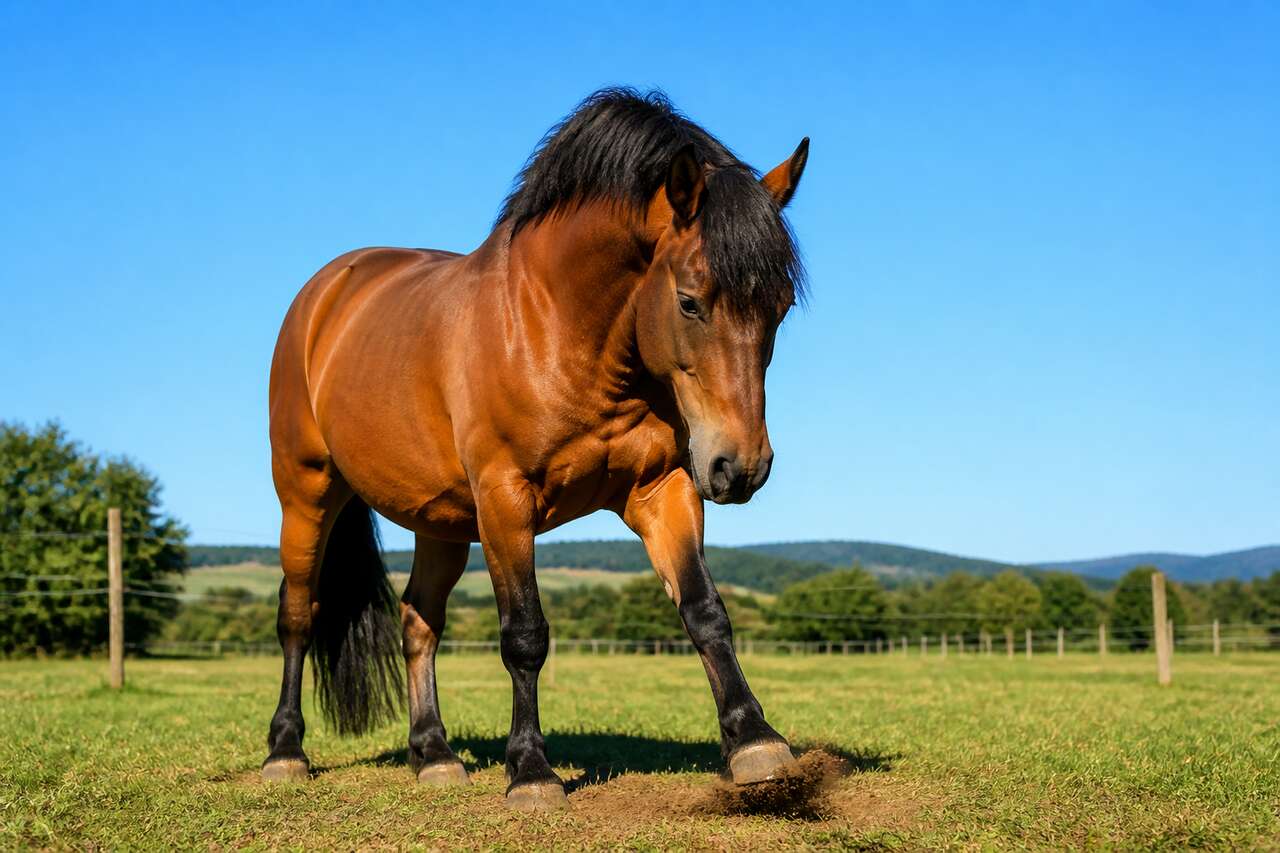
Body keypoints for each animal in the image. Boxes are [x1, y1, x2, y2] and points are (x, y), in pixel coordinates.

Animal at [263, 88, 810, 810]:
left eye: (780, 306)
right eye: (690, 302)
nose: (741, 467)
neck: (558, 330)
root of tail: (325, 295)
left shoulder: (663, 489)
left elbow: (705, 611)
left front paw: (755, 740)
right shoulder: (505, 499)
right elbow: (524, 634)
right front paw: (530, 770)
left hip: (442, 521)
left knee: (418, 621)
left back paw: (434, 754)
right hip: (307, 493)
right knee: (299, 614)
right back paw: (285, 751)